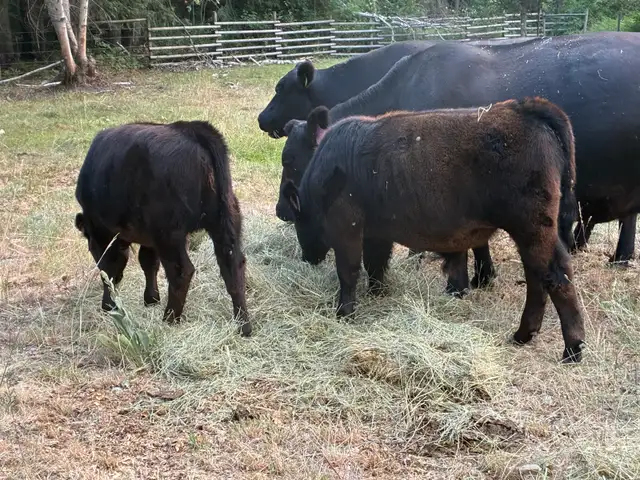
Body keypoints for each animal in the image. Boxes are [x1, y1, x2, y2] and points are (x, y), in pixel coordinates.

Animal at [74, 120, 252, 336]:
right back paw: (243, 325)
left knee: (182, 271)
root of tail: (192, 130)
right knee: (233, 265)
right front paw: (151, 299)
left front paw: (109, 305)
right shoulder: (147, 237)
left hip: (169, 233)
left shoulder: (105, 234)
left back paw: (169, 318)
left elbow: (109, 269)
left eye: (90, 247)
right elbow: (148, 262)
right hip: (226, 220)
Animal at [281, 98, 586, 363]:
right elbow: (376, 264)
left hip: (531, 228)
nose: (307, 258)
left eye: (299, 222)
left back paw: (572, 348)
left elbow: (348, 272)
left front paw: (344, 313)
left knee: (553, 276)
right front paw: (378, 292)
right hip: (537, 233)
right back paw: (525, 334)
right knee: (540, 277)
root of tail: (524, 108)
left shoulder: (347, 227)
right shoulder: (376, 232)